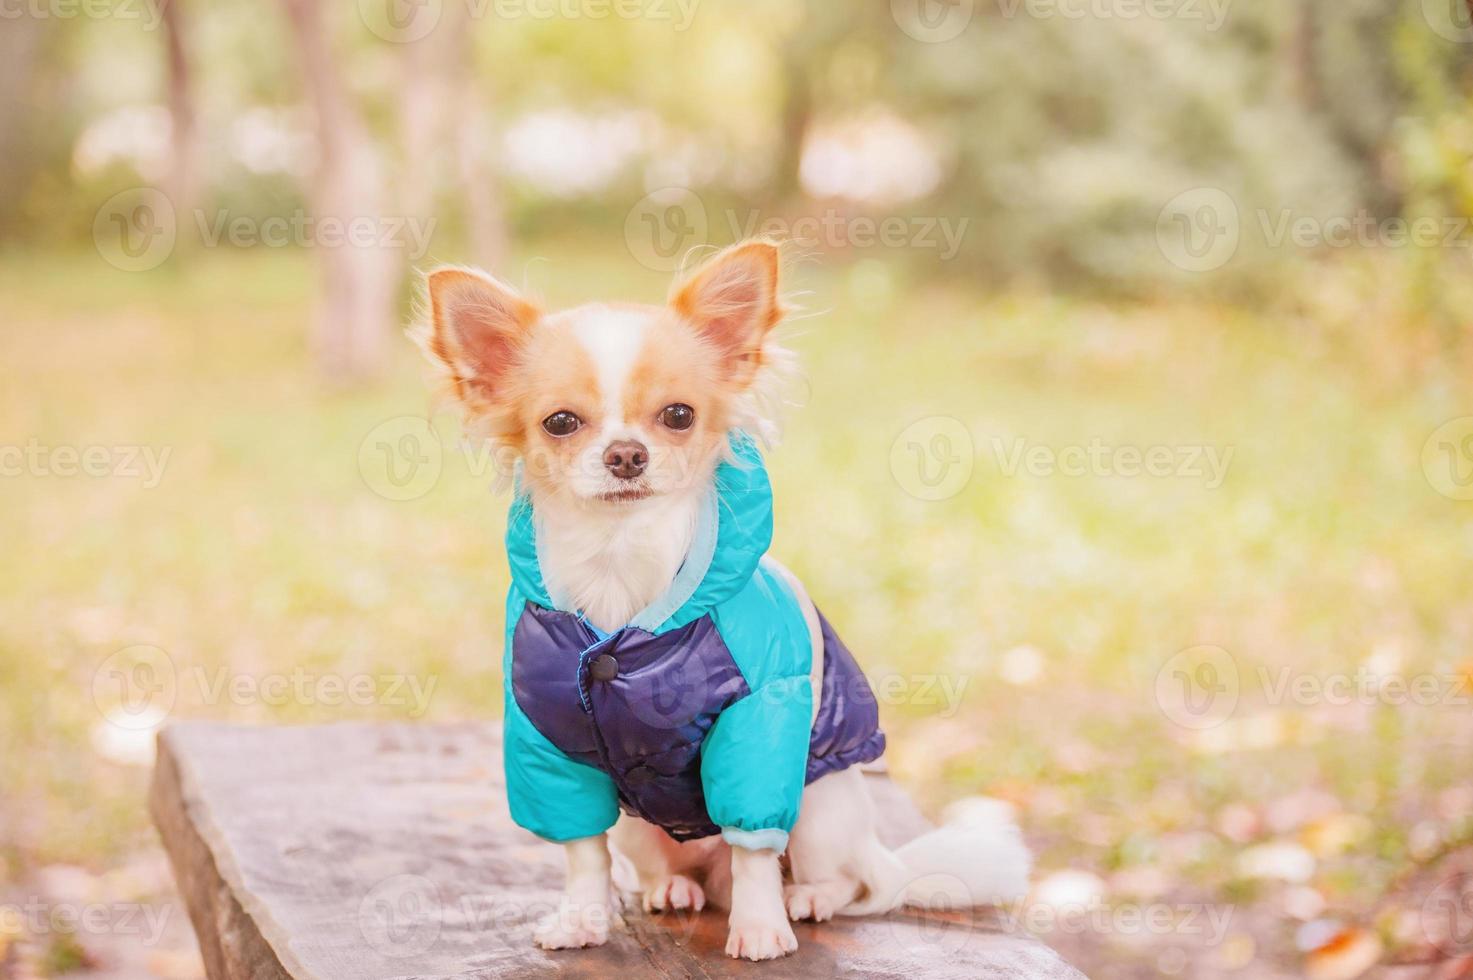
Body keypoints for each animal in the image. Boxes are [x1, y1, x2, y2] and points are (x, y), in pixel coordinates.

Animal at [415, 240, 1031, 960]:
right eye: (560, 422)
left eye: (678, 415)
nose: (626, 454)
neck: (621, 560)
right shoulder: (545, 742)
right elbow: (584, 852)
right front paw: (580, 920)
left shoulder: (758, 721)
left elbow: (755, 849)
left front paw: (761, 928)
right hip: (641, 828)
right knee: (680, 873)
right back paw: (674, 890)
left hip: (822, 809)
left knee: (836, 881)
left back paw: (805, 899)